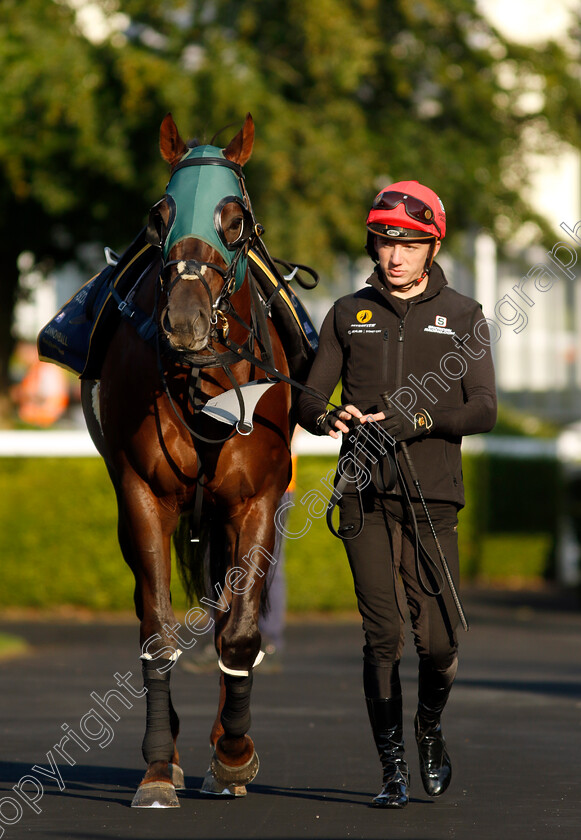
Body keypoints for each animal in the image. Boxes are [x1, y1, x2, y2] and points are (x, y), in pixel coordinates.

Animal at [80, 113, 294, 808]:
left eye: (234, 219)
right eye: (160, 216)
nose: (185, 319)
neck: (204, 382)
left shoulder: (256, 500)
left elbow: (241, 630)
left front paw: (233, 755)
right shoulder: (142, 494)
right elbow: (157, 630)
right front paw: (156, 766)